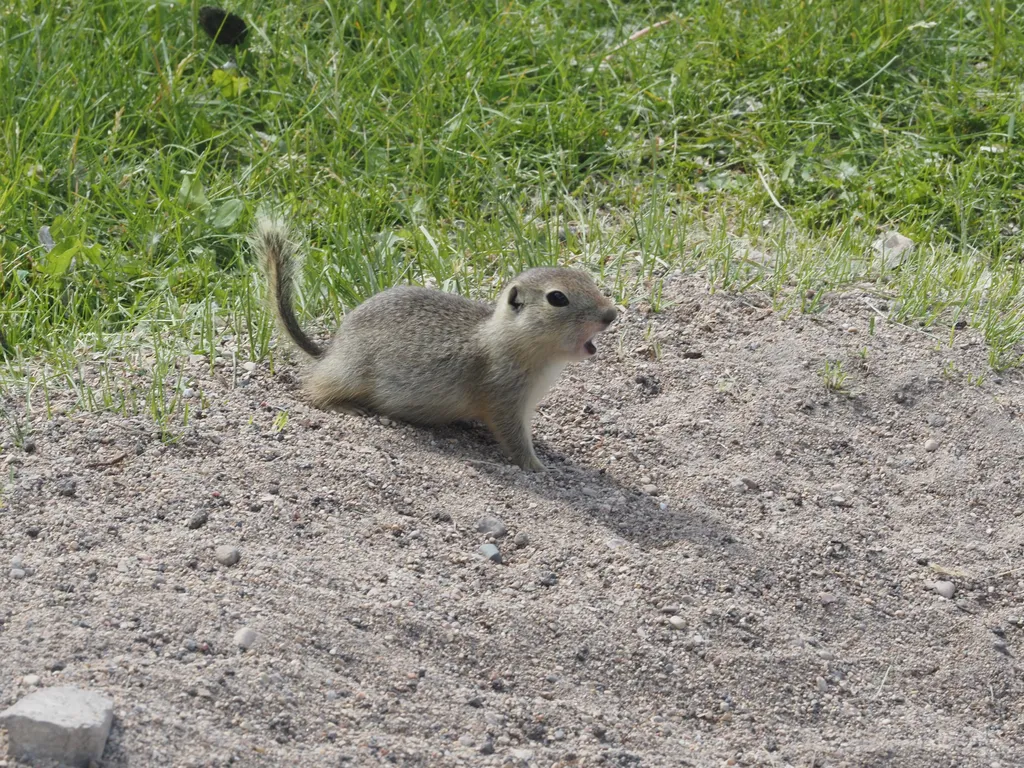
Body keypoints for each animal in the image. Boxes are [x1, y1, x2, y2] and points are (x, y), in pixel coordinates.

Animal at [251, 214, 618, 473]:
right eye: (557, 298)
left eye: (586, 278)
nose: (611, 314)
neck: (509, 338)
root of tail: (332, 350)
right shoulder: (504, 397)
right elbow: (513, 438)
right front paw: (538, 466)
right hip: (348, 373)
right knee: (313, 389)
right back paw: (345, 405)